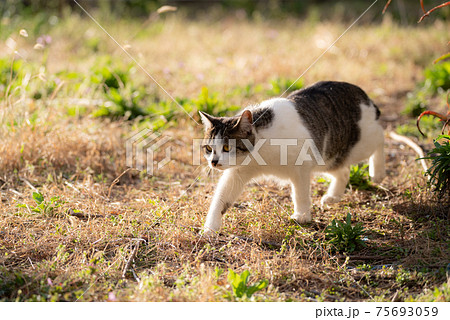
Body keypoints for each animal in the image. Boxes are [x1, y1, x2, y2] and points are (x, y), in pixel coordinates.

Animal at [200, 81, 386, 234]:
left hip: (361, 143)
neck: (260, 150)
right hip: (328, 157)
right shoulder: (238, 172)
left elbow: (300, 193)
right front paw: (209, 229)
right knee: (344, 171)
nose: (214, 162)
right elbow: (221, 198)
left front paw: (302, 216)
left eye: (226, 147)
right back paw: (333, 196)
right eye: (209, 148)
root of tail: (363, 95)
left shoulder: (301, 167)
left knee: (380, 136)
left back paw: (377, 172)